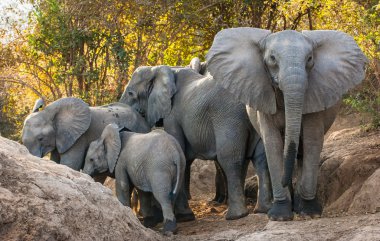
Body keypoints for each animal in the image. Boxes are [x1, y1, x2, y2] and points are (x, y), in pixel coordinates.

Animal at [120, 64, 272, 220]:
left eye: (131, 93)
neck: (159, 69)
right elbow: (184, 157)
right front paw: (185, 216)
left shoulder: (173, 114)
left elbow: (180, 149)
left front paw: (184, 217)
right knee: (260, 158)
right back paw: (261, 210)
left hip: (229, 117)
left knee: (230, 159)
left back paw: (235, 216)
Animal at [205, 26, 368, 220]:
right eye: (272, 59)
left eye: (310, 58)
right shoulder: (263, 100)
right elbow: (273, 144)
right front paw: (280, 215)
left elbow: (312, 141)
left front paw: (309, 212)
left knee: (302, 152)